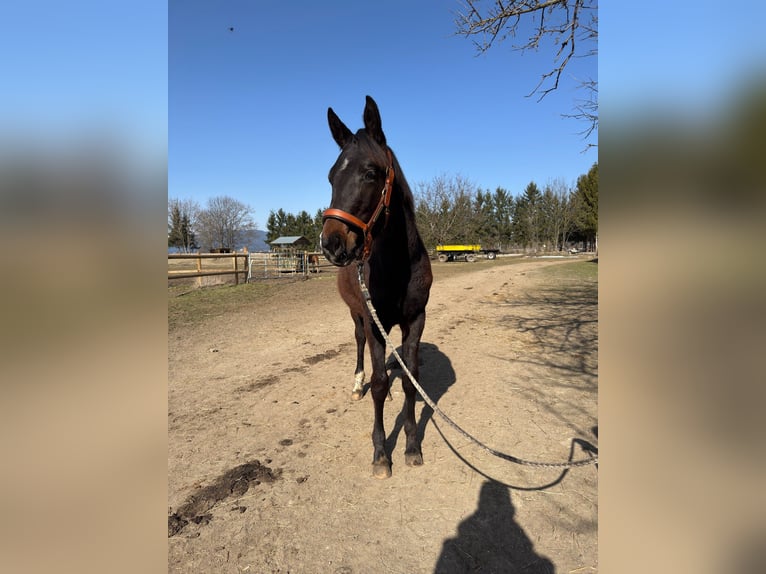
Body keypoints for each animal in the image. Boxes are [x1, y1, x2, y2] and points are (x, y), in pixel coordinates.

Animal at [321, 96, 433, 479]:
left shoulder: (415, 320)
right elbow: (380, 383)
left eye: (371, 172)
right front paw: (381, 453)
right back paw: (357, 384)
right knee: (359, 346)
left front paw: (412, 446)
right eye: (331, 176)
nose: (331, 244)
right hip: (357, 315)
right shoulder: (372, 322)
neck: (398, 265)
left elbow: (411, 379)